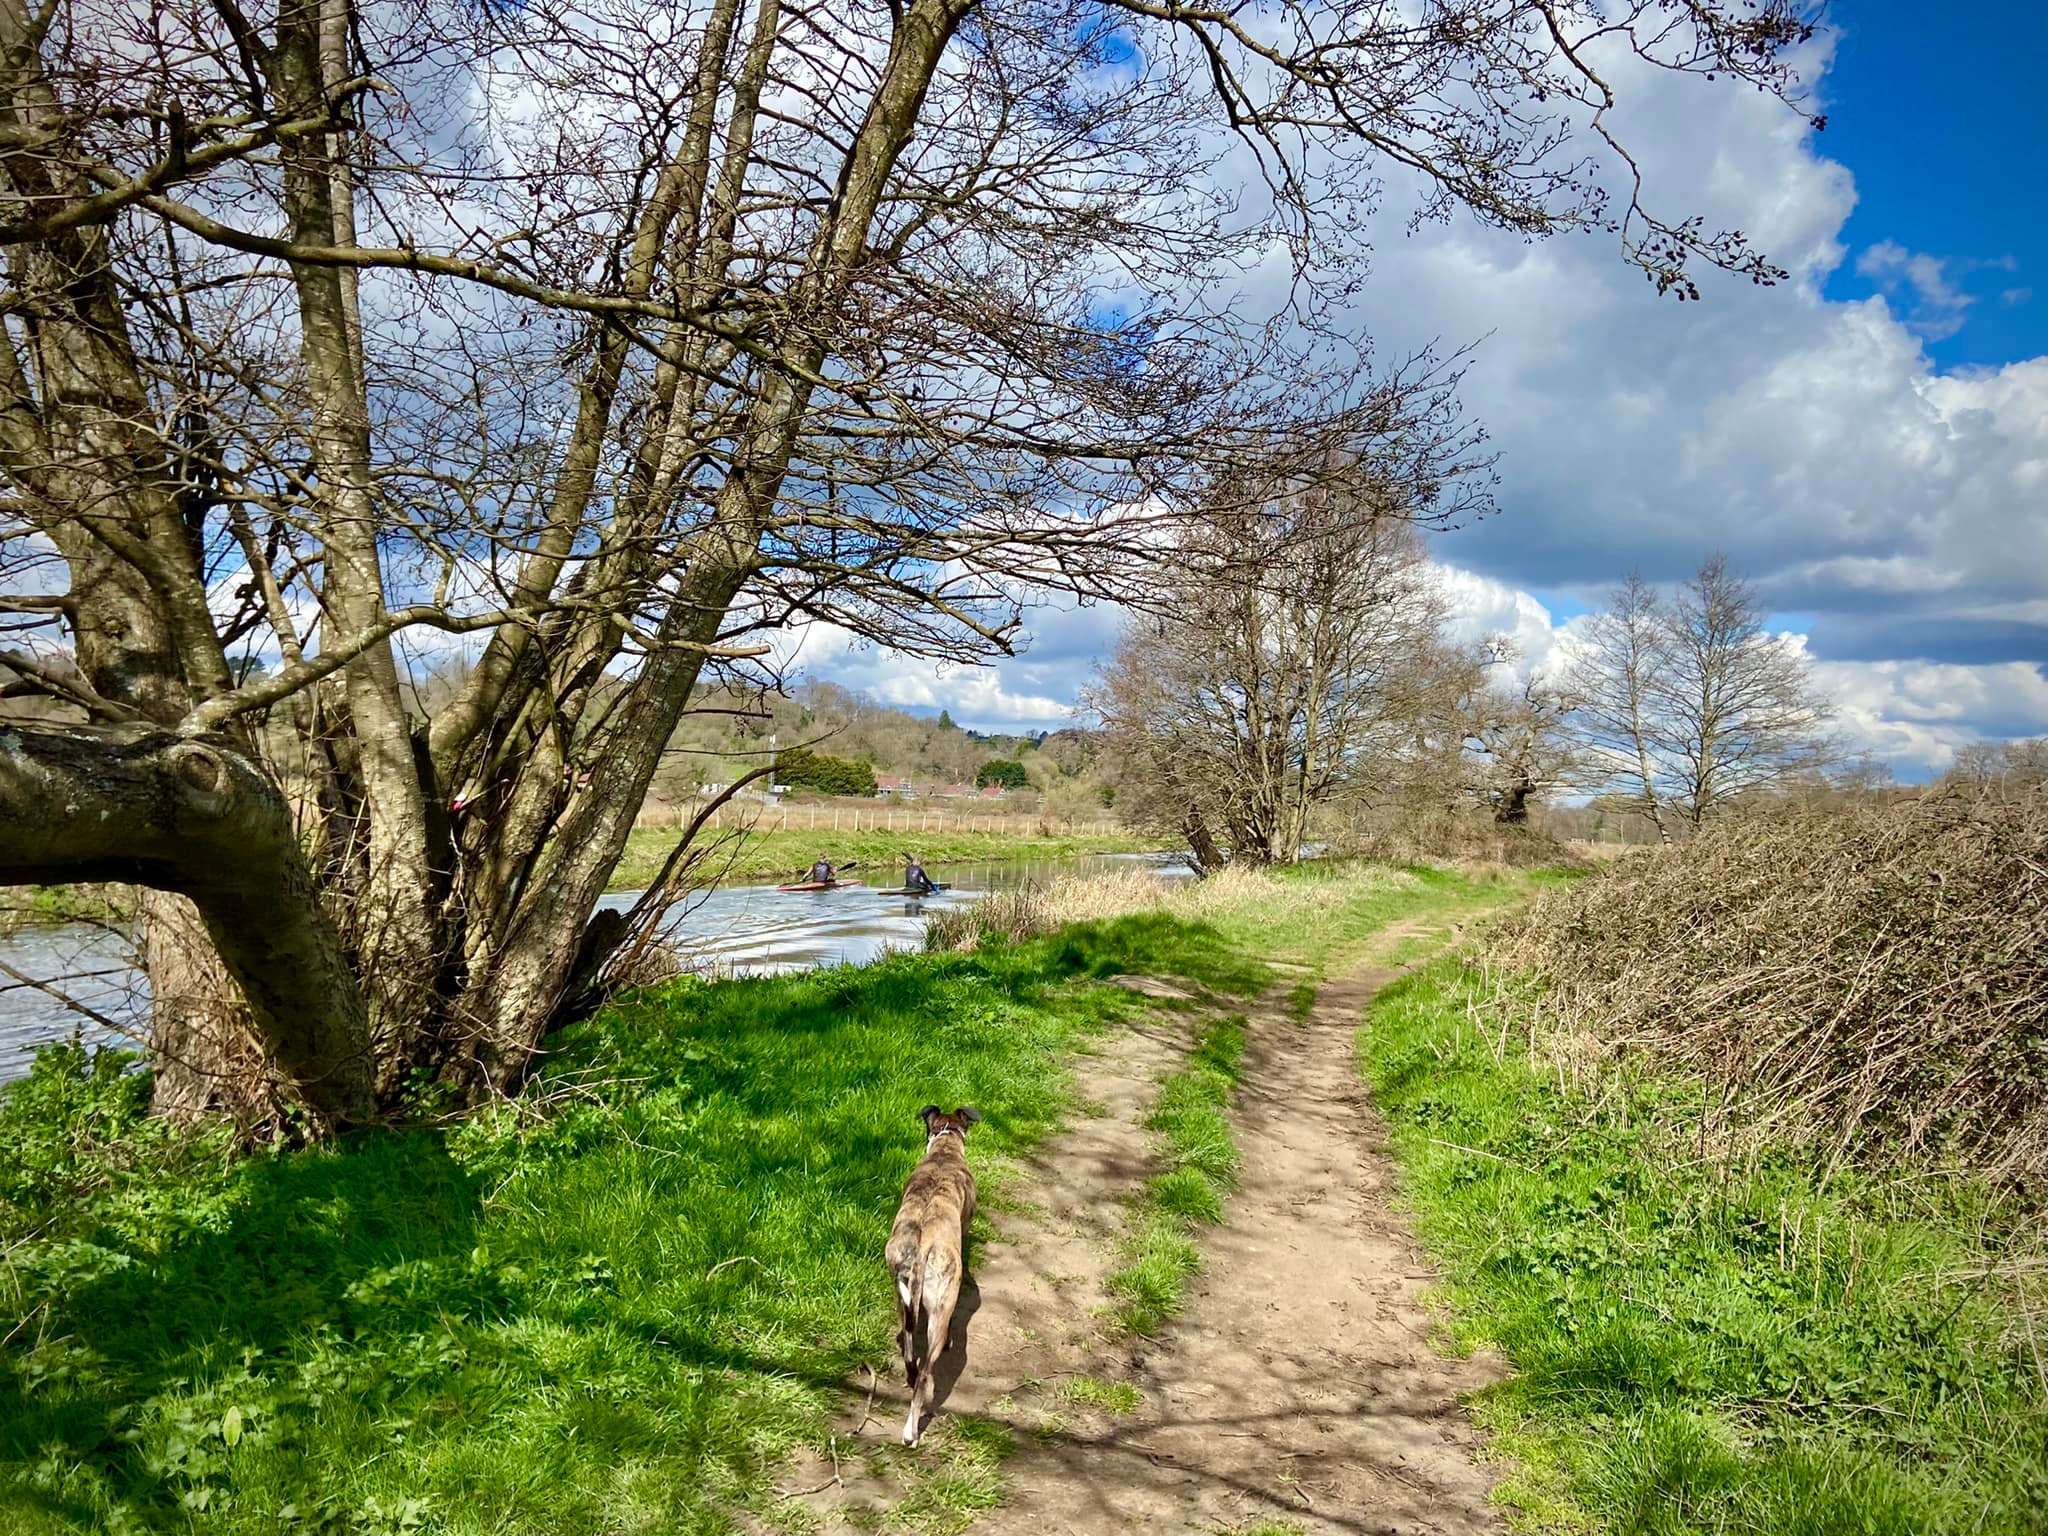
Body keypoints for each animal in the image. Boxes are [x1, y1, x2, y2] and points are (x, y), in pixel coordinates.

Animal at [885, 1104, 980, 1445]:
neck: (944, 1150)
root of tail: (921, 1246)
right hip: (940, 1308)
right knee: (927, 1370)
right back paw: (910, 1431)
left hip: (901, 1295)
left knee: (908, 1342)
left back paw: (910, 1374)